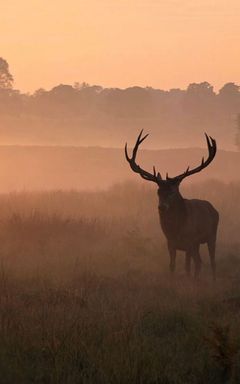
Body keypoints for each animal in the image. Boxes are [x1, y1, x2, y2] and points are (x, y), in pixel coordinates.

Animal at [125, 131, 219, 280]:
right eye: (158, 191)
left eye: (172, 191)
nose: (162, 207)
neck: (176, 229)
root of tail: (214, 209)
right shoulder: (170, 243)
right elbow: (172, 266)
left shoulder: (190, 240)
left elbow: (189, 266)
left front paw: (189, 282)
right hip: (197, 244)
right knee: (199, 262)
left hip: (211, 236)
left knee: (211, 262)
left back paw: (213, 280)